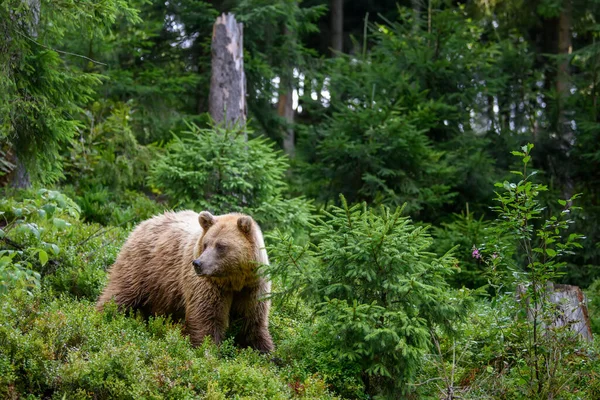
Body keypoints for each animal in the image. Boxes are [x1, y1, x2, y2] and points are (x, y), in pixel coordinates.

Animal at [96, 211, 274, 352]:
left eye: (221, 246)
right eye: (206, 244)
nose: (198, 263)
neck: (233, 281)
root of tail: (145, 222)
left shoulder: (253, 288)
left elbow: (252, 322)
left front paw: (266, 352)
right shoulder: (208, 285)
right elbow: (206, 318)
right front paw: (207, 350)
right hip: (142, 268)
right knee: (119, 294)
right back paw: (102, 316)